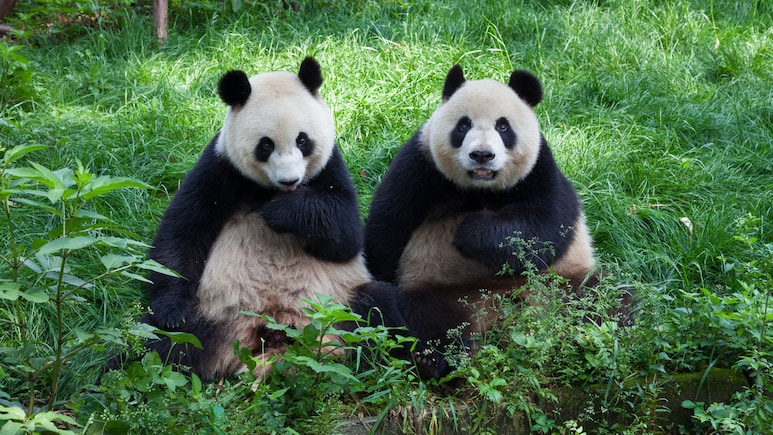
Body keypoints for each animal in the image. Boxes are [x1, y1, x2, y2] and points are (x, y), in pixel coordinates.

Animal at [142, 57, 410, 381]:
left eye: (302, 140)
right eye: (266, 145)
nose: (289, 180)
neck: (268, 189)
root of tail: (272, 335)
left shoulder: (330, 167)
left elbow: (346, 236)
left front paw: (281, 212)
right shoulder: (221, 166)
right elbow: (184, 230)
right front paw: (171, 311)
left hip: (339, 304)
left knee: (377, 313)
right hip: (212, 313)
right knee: (157, 342)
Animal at [364, 65, 610, 375]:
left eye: (503, 127)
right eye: (463, 126)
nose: (482, 155)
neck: (481, 188)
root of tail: (499, 314)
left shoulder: (540, 170)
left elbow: (545, 227)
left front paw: (470, 232)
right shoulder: (421, 166)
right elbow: (388, 224)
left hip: (561, 283)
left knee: (601, 300)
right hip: (443, 289)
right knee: (429, 316)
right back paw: (435, 360)